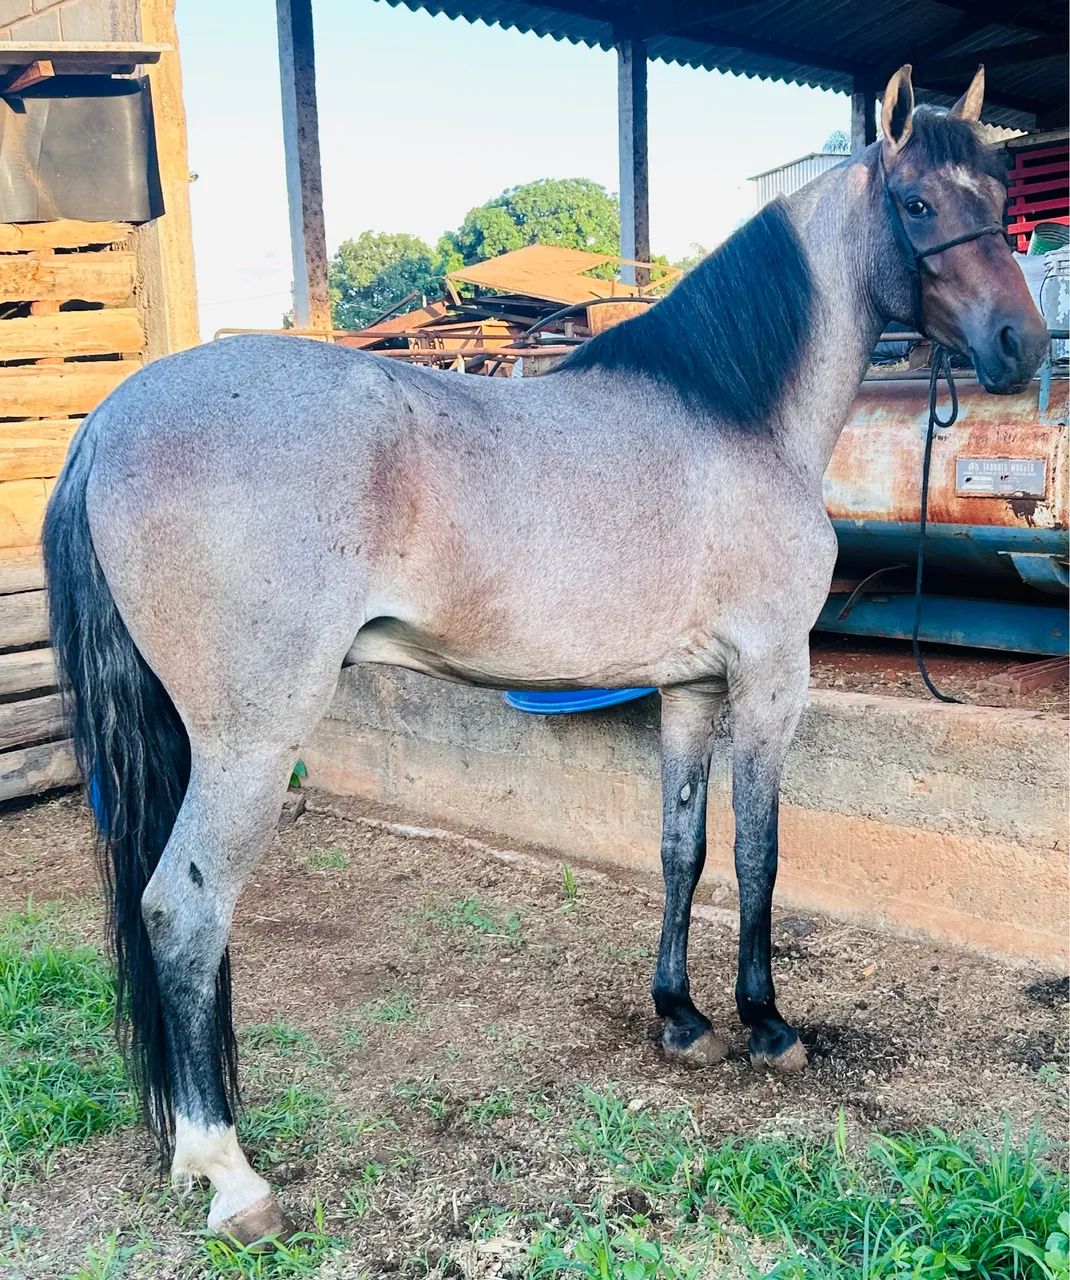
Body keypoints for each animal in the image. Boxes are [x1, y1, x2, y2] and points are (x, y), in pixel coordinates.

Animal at [43, 64, 1047, 1241]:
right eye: (920, 205)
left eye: (997, 193)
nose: (1021, 345)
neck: (734, 420)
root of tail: (111, 420)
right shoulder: (768, 679)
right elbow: (757, 852)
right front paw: (765, 1022)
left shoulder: (689, 688)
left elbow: (681, 848)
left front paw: (680, 1015)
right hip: (247, 742)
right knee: (183, 909)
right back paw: (229, 1174)